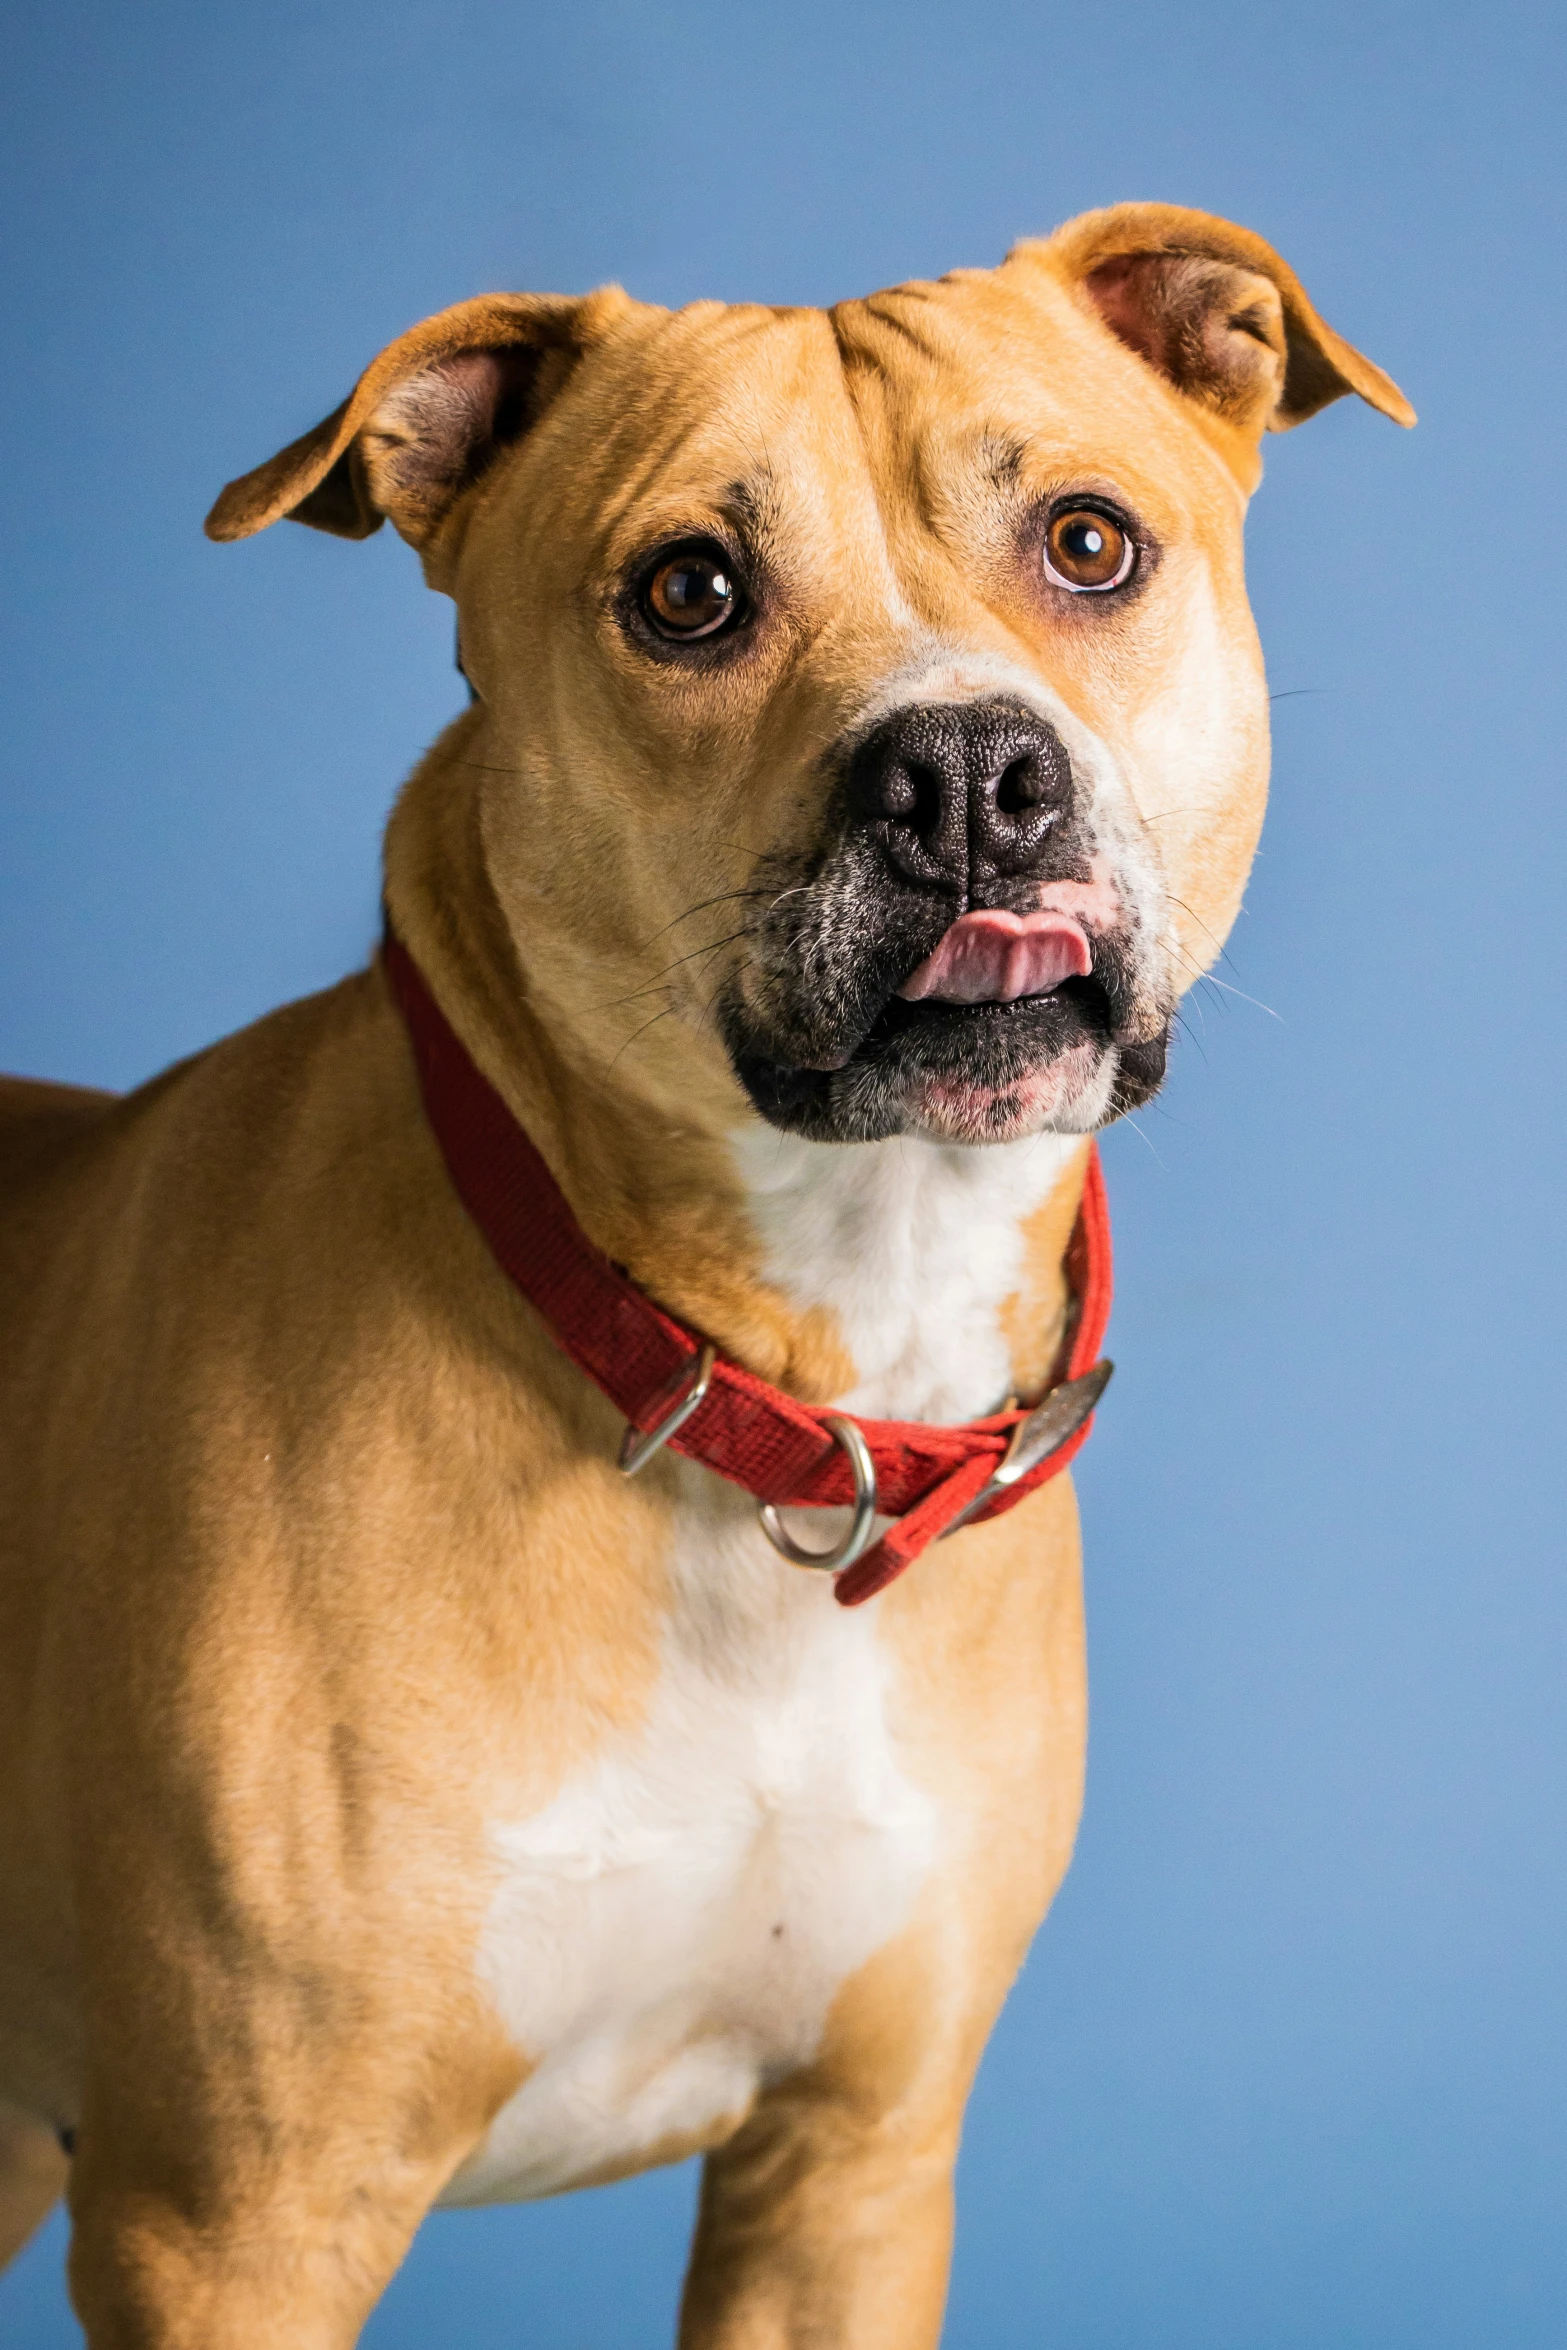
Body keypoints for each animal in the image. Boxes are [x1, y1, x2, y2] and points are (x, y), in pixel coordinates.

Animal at [0, 211, 1418, 2340]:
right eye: (687, 593)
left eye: (1088, 543)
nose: (968, 771)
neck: (785, 1376)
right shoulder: (233, 2224)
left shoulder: (852, 2166)